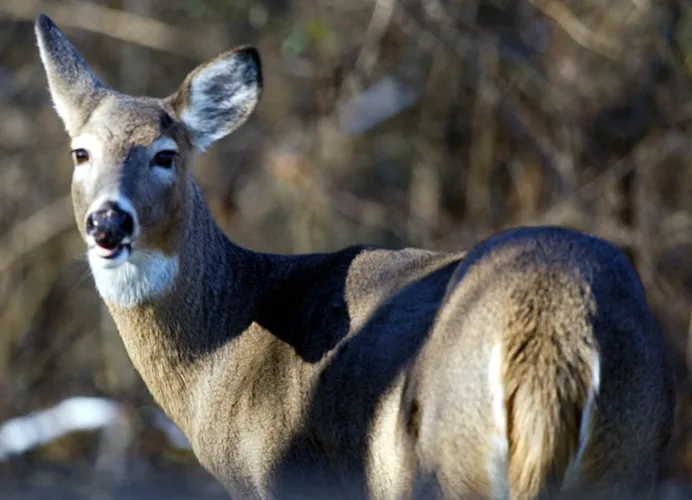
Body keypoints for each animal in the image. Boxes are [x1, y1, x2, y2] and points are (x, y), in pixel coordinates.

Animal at [34, 13, 675, 500]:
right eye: (80, 152)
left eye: (166, 154)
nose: (108, 222)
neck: (220, 359)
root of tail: (549, 330)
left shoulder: (284, 478)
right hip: (631, 449)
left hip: (449, 459)